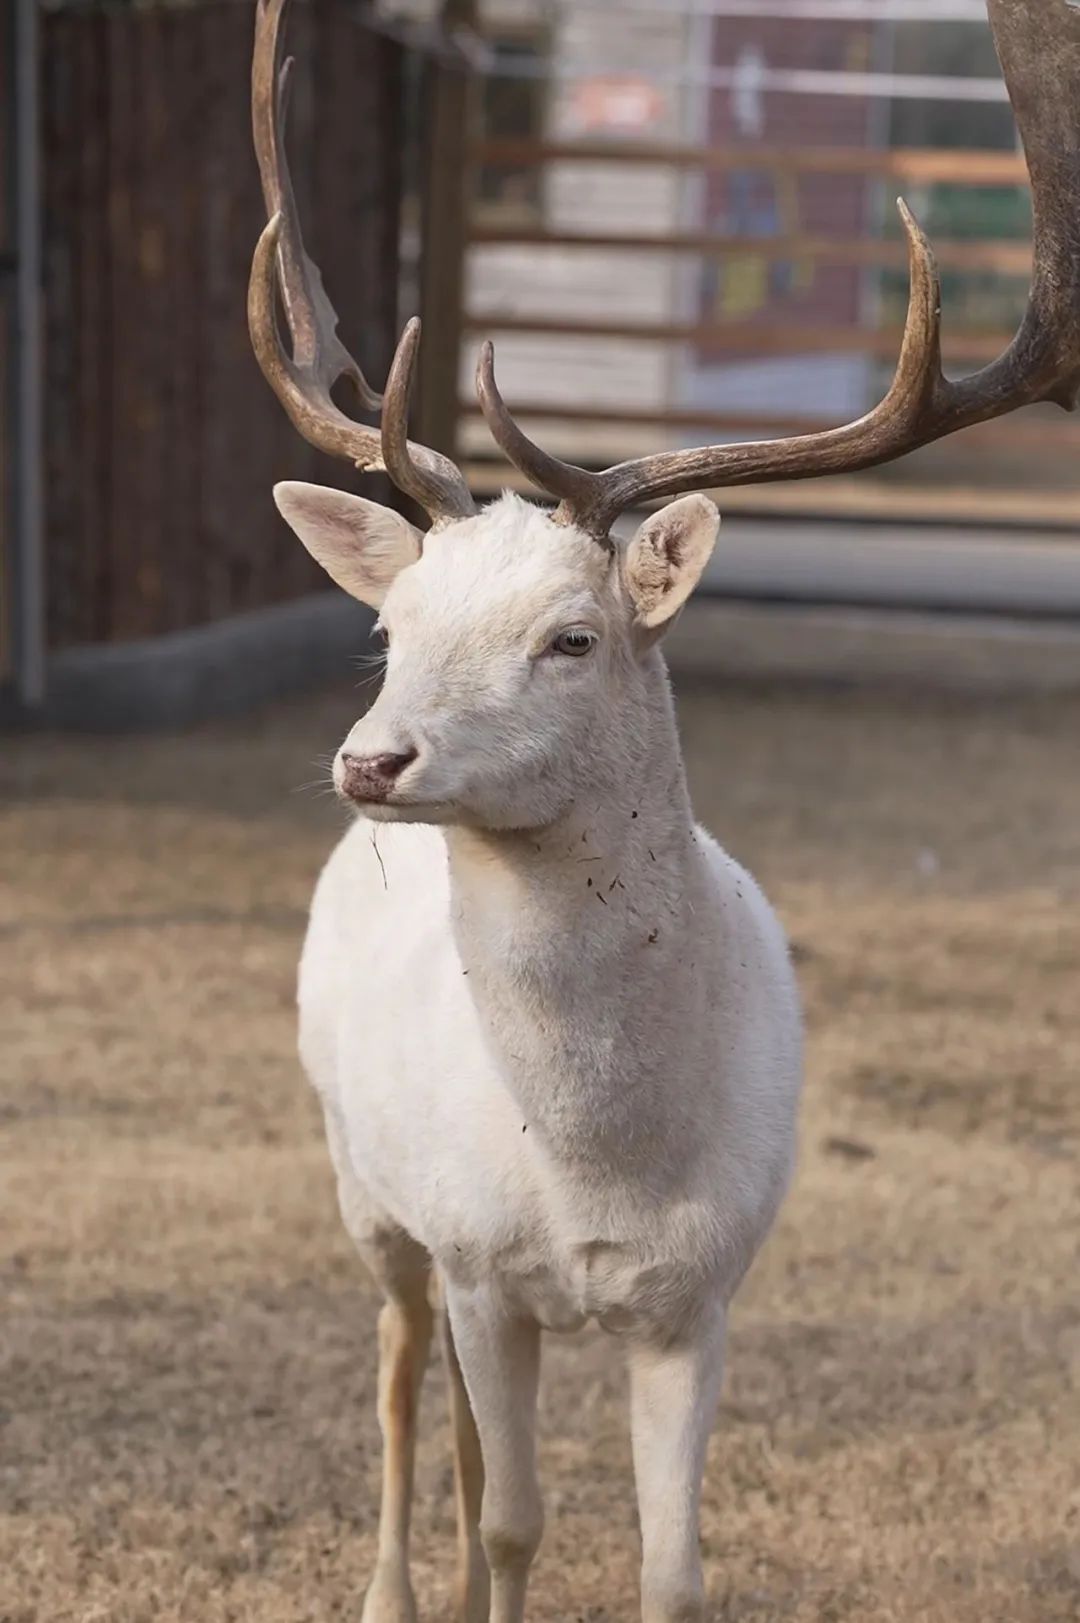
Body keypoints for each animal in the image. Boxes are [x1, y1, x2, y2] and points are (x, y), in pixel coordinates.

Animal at [247, 1, 1080, 1618]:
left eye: (573, 637)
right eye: (395, 623)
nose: (372, 761)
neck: (595, 1166)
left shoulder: (705, 1289)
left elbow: (671, 1563)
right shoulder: (478, 1256)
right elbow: (517, 1522)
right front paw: (477, 1579)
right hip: (358, 1172)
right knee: (397, 1369)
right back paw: (392, 1588)